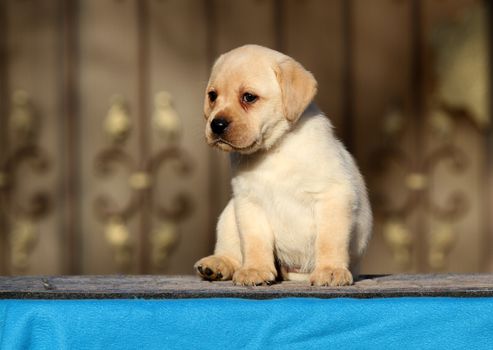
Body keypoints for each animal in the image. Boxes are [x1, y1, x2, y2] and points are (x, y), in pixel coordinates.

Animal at [194, 43, 370, 286]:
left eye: (249, 97)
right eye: (213, 96)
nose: (216, 124)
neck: (274, 149)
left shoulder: (333, 195)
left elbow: (329, 241)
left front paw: (330, 270)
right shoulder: (249, 203)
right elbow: (255, 243)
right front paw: (256, 269)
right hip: (228, 215)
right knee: (231, 251)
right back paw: (217, 264)